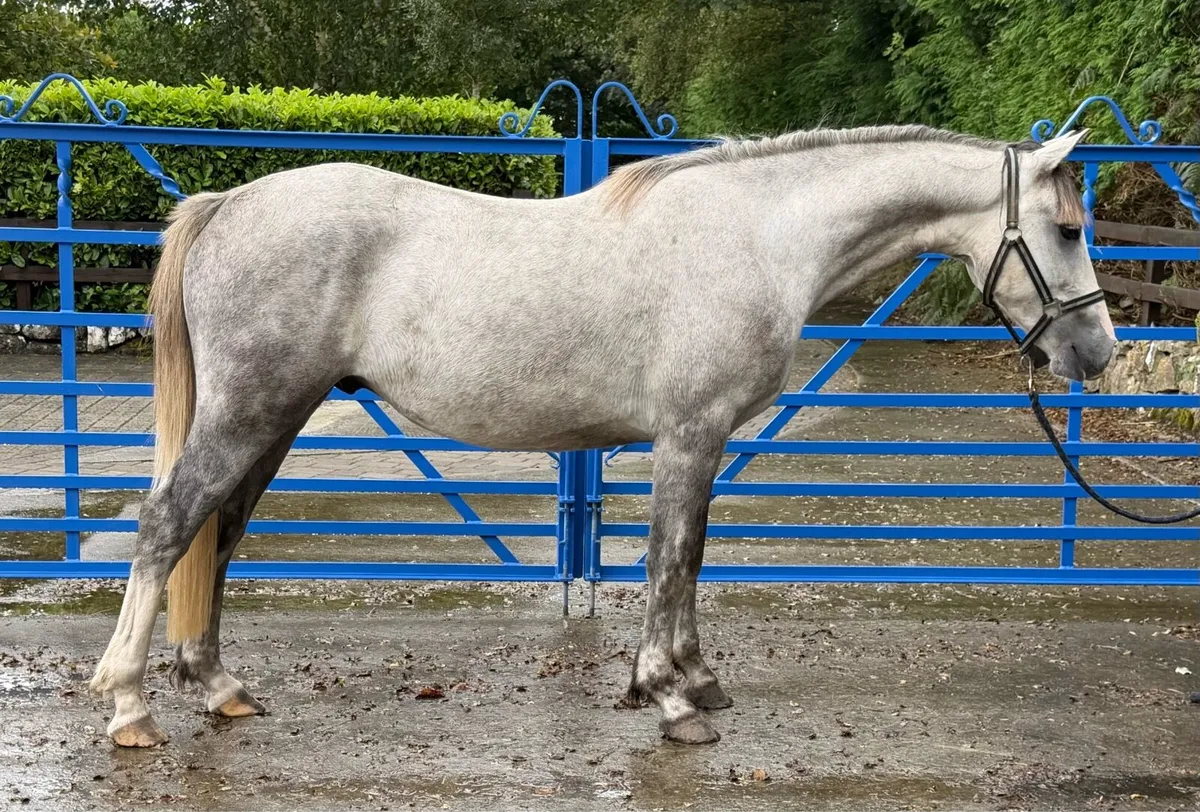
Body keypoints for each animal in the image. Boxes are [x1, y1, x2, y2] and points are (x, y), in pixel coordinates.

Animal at [89, 124, 1115, 747]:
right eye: (1067, 230)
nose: (1099, 350)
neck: (759, 236)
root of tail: (228, 204)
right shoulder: (690, 433)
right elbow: (672, 556)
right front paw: (669, 696)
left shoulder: (701, 440)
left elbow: (690, 557)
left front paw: (695, 677)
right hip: (249, 411)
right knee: (167, 525)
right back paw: (131, 703)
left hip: (275, 418)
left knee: (217, 536)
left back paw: (219, 687)